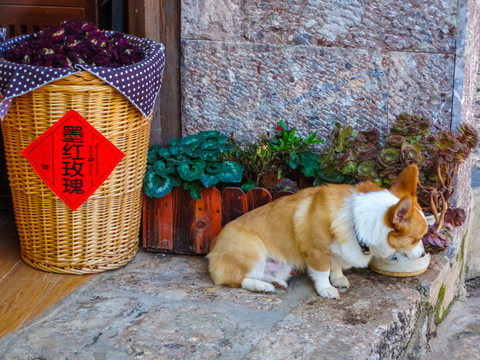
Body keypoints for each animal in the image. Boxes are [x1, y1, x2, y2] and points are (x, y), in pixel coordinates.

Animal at [207, 165, 428, 298]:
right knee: (236, 279)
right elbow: (322, 272)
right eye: (416, 239)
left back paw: (276, 282)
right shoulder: (317, 252)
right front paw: (327, 289)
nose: (423, 254)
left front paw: (338, 278)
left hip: (282, 266)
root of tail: (212, 248)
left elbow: (336, 266)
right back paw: (262, 287)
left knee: (261, 274)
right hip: (253, 251)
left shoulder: (337, 251)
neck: (356, 220)